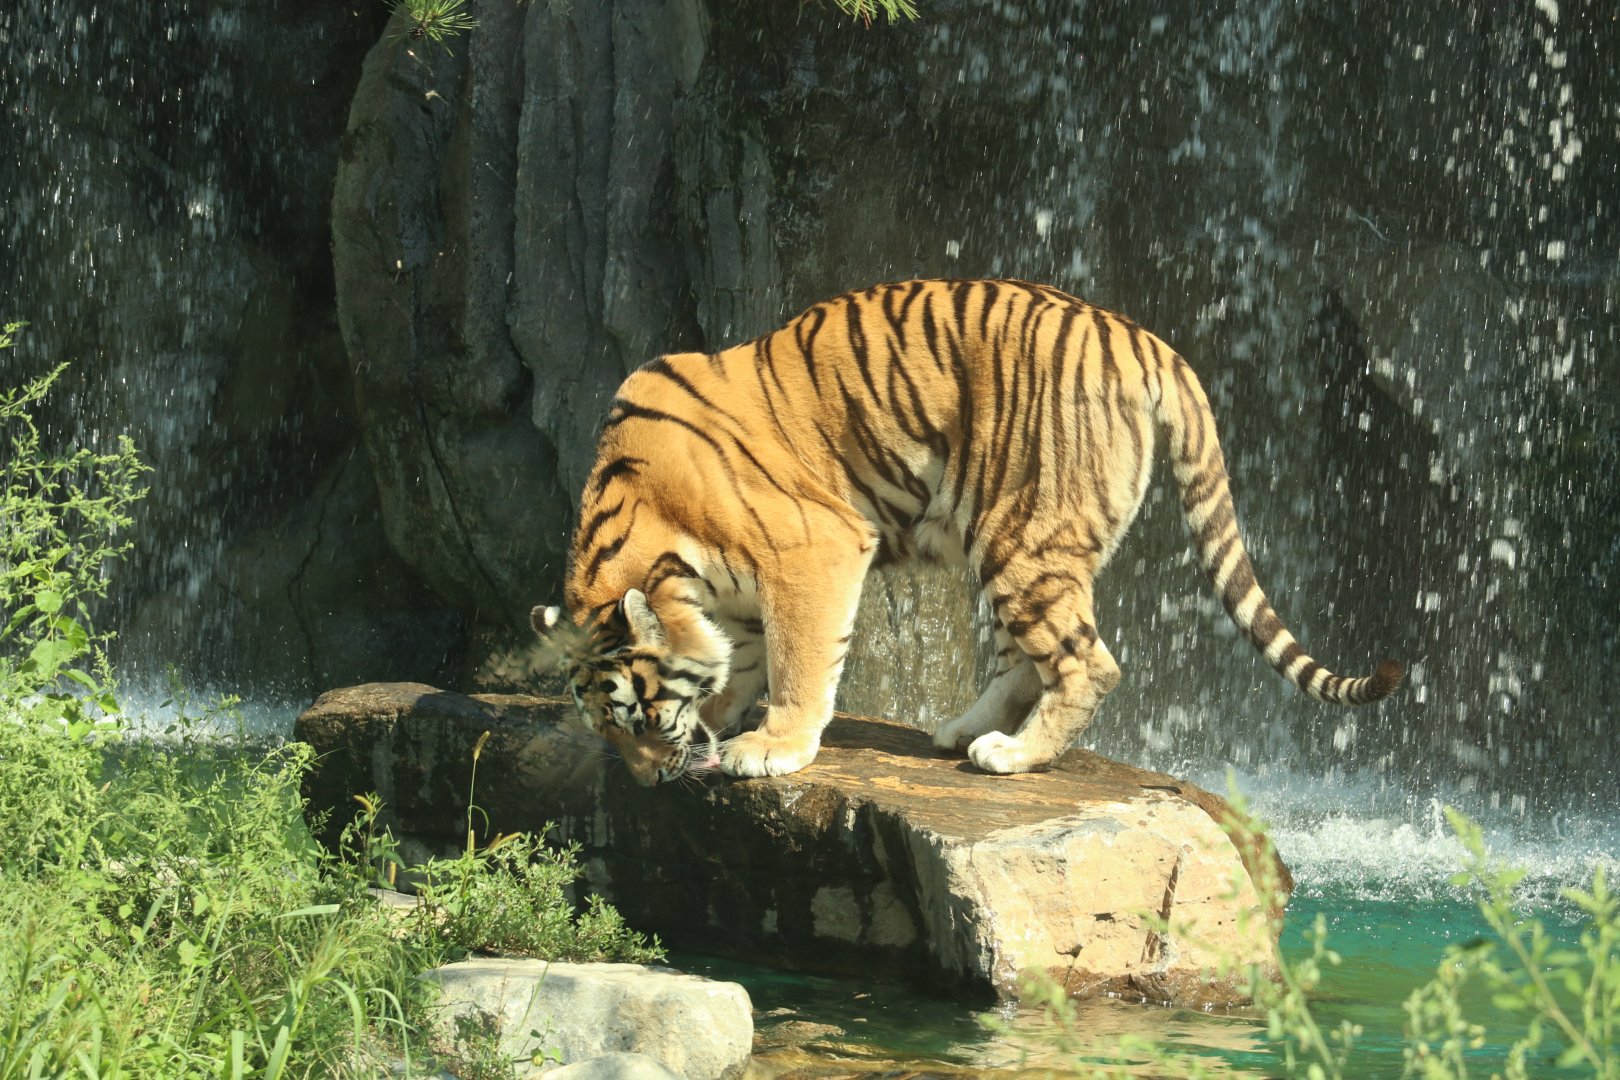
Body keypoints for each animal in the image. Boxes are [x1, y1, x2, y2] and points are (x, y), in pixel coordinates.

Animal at [531, 279, 1402, 786]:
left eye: (640, 719)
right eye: (609, 729)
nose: (648, 780)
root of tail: (1145, 339)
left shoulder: (814, 548)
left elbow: (799, 661)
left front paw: (769, 745)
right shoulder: (735, 595)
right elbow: (739, 658)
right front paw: (721, 717)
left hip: (1022, 537)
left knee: (1090, 663)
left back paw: (1011, 754)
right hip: (1015, 544)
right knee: (1029, 658)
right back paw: (961, 729)